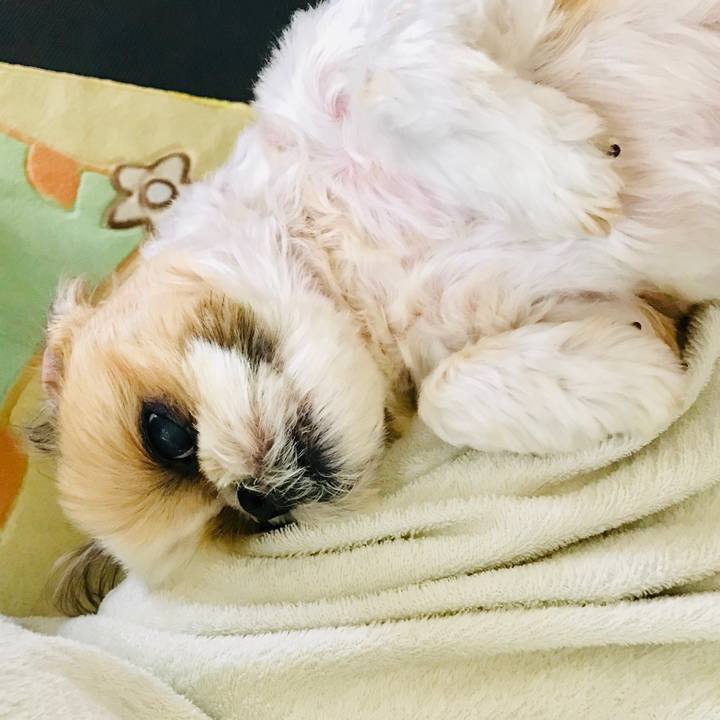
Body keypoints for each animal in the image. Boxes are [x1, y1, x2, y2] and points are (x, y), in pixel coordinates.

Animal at [33, 0, 720, 607]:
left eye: (164, 433)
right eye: (247, 523)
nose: (258, 497)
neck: (352, 267)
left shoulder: (355, 41)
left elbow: (379, 72)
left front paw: (565, 178)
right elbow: (447, 395)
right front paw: (634, 373)